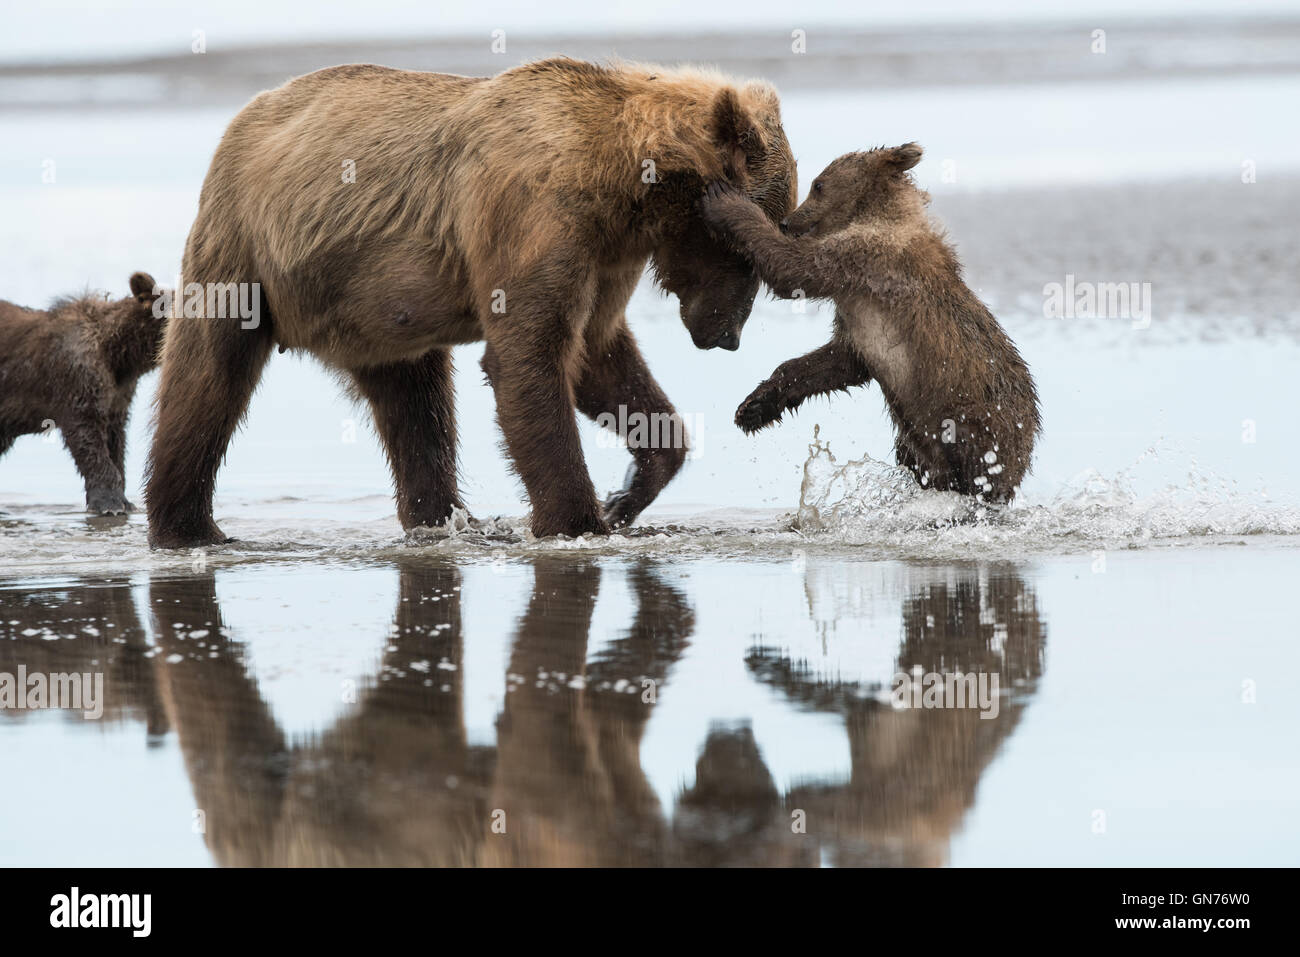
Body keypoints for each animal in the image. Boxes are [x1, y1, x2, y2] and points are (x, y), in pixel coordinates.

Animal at [0, 273, 165, 515]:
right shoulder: (78, 378)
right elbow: (87, 435)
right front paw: (110, 503)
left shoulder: (119, 394)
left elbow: (115, 440)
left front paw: (126, 501)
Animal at [145, 58, 797, 548]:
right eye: (747, 253)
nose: (728, 334)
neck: (623, 187)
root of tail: (247, 113)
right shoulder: (534, 215)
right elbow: (530, 360)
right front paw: (578, 523)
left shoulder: (606, 256)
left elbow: (598, 354)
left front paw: (630, 489)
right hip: (245, 251)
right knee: (206, 379)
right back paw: (188, 527)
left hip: (377, 307)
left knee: (416, 405)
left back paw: (442, 519)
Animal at [700, 144, 1040, 503]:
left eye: (818, 185)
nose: (787, 221)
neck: (875, 212)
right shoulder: (856, 316)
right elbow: (839, 361)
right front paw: (754, 406)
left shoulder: (866, 257)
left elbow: (792, 268)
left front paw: (725, 200)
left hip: (973, 416)